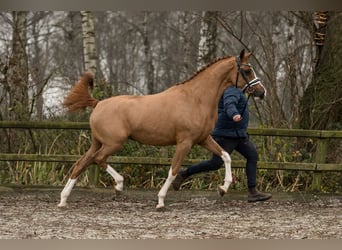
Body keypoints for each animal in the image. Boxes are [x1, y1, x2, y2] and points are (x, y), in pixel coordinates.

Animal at [58, 48, 264, 209]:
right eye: (247, 70)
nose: (262, 92)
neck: (196, 99)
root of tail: (98, 103)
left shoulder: (203, 139)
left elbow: (226, 156)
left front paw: (223, 188)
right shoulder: (185, 142)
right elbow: (173, 170)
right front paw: (160, 201)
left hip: (97, 142)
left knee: (81, 163)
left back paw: (63, 200)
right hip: (113, 143)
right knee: (98, 159)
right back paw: (118, 186)